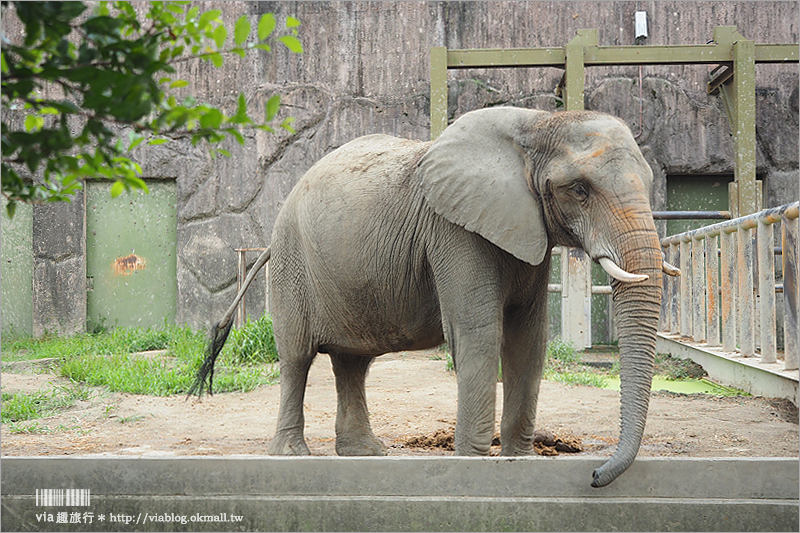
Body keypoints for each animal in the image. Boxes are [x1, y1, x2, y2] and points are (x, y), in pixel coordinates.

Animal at [189, 107, 680, 486]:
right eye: (580, 189)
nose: (595, 475)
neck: (538, 123)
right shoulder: (453, 231)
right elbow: (479, 335)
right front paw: (473, 465)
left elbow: (528, 341)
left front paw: (519, 463)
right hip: (294, 263)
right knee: (296, 357)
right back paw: (293, 455)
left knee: (352, 362)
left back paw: (366, 454)